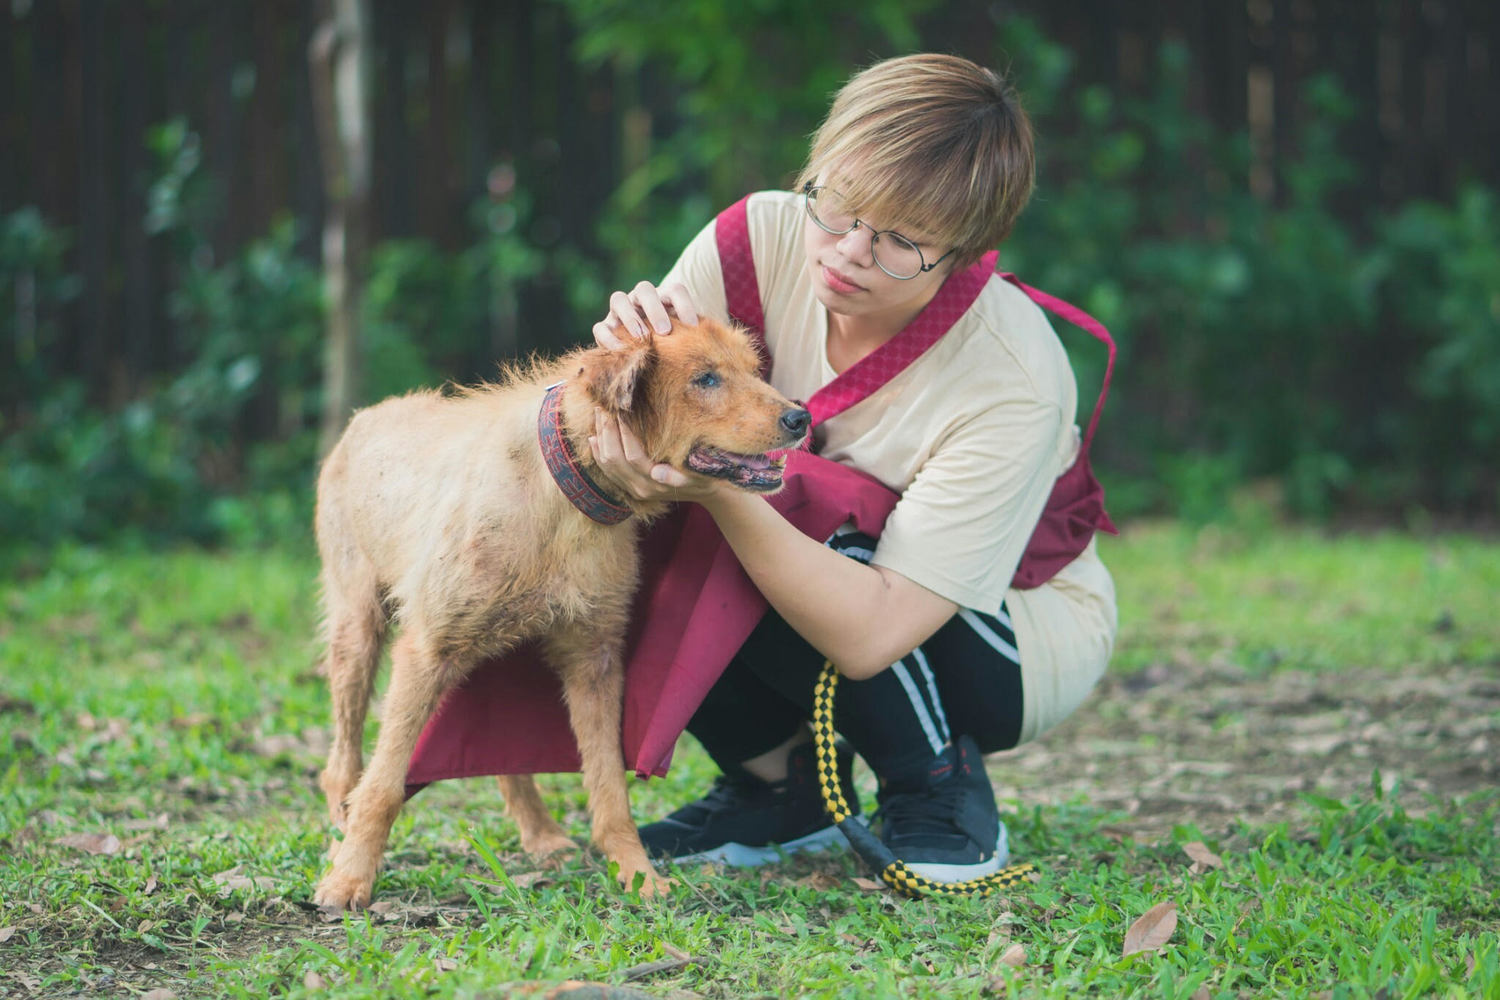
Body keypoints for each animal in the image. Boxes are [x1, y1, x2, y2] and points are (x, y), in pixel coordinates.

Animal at [310, 316, 810, 911]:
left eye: (754, 371)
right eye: (706, 379)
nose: (800, 417)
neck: (566, 492)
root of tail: (367, 415)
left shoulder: (595, 659)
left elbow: (611, 789)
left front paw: (637, 875)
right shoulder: (427, 649)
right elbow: (384, 785)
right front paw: (350, 878)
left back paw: (541, 834)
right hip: (357, 631)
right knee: (342, 763)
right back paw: (340, 834)